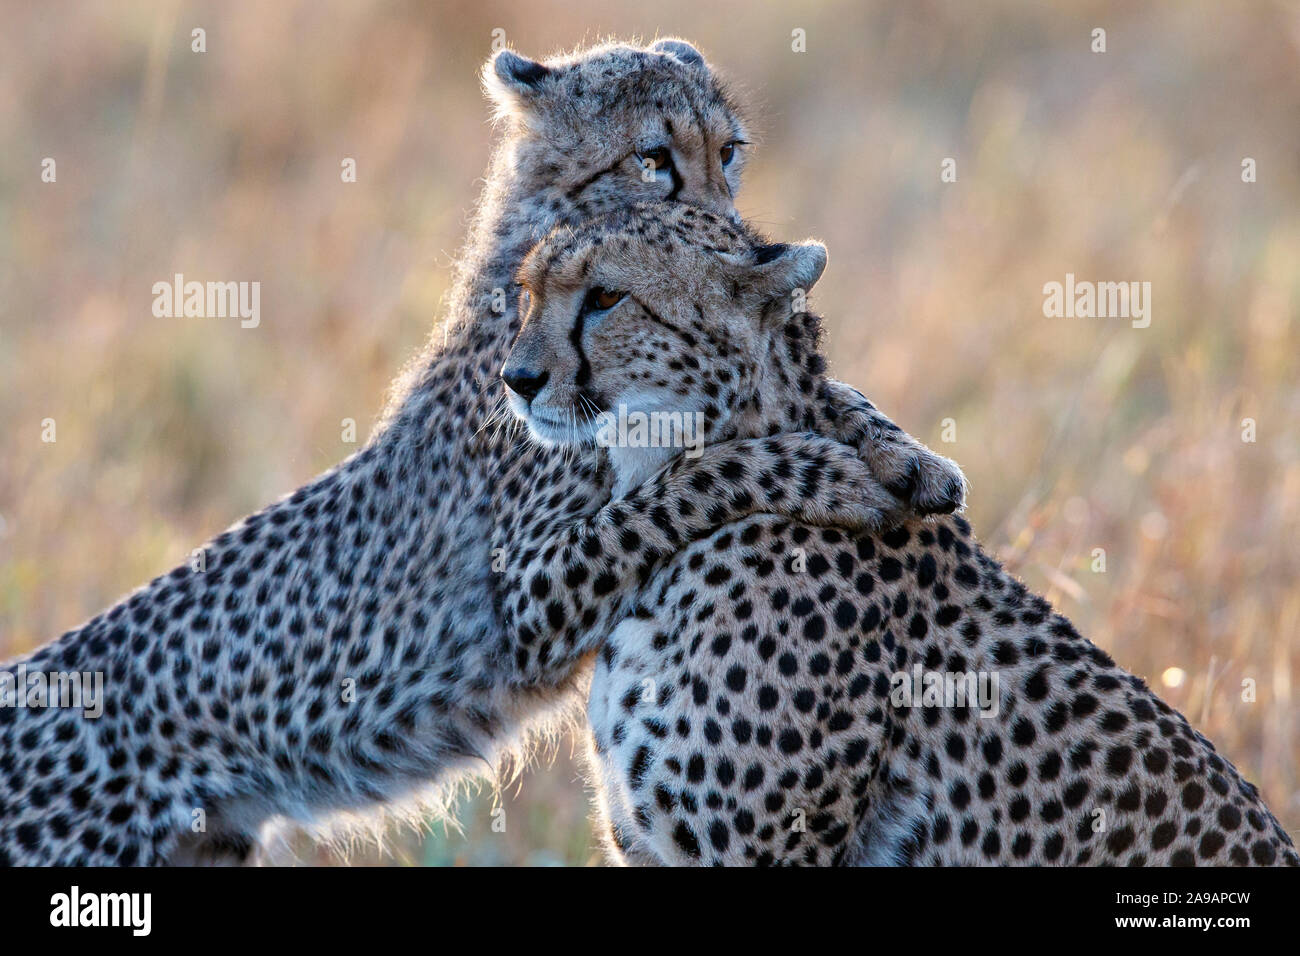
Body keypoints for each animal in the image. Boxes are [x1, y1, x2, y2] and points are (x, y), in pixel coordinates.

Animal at [0, 39, 956, 868]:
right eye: (653, 159)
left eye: (731, 150)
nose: (729, 226)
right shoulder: (531, 589)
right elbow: (694, 479)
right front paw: (829, 474)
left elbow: (837, 401)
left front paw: (915, 461)